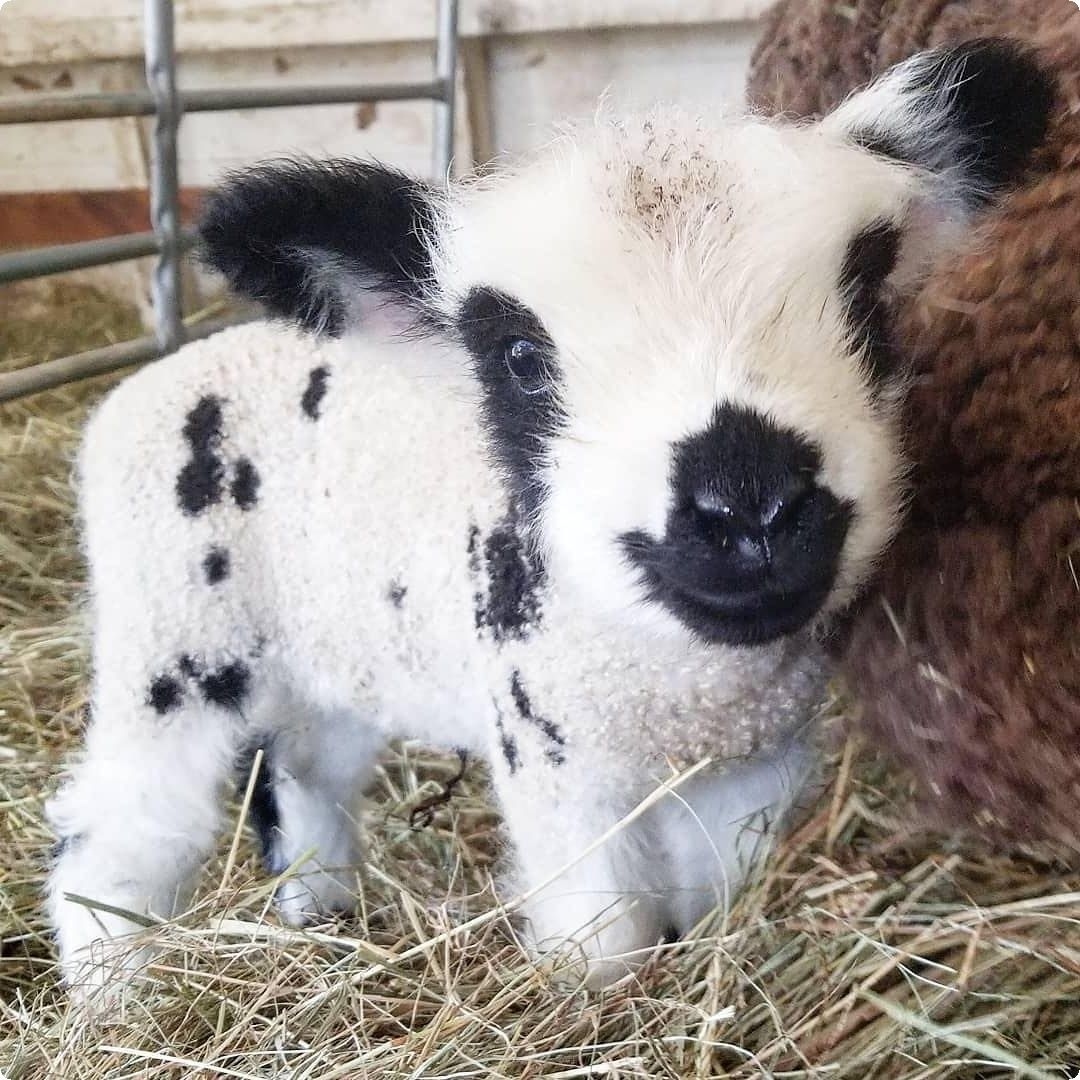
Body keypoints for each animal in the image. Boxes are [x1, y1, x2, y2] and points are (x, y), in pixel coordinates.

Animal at [46, 44, 1049, 1002]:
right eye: (521, 358)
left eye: (867, 306)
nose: (750, 507)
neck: (686, 686)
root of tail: (141, 390)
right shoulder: (555, 759)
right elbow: (604, 935)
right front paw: (602, 1001)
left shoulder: (753, 766)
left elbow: (716, 892)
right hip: (171, 643)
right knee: (118, 825)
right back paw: (114, 994)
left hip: (330, 657)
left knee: (299, 772)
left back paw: (318, 906)